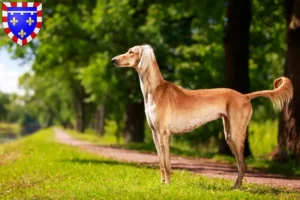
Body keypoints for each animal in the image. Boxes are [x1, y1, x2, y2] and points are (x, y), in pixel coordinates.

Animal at [111, 44, 294, 188]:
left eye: (131, 51)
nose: (113, 60)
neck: (155, 90)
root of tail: (244, 96)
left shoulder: (164, 134)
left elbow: (168, 163)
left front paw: (168, 185)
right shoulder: (155, 133)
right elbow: (161, 162)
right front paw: (162, 183)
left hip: (236, 134)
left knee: (242, 164)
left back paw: (236, 187)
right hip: (229, 133)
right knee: (241, 164)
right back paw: (236, 186)